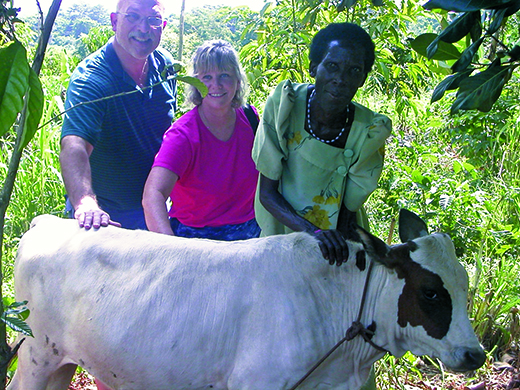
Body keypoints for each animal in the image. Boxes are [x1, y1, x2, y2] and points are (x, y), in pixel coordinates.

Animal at [9, 210, 488, 390]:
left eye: (465, 284)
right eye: (430, 291)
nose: (475, 354)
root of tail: (47, 222)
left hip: (63, 361)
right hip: (36, 355)